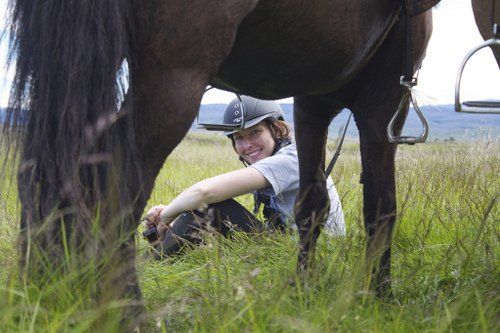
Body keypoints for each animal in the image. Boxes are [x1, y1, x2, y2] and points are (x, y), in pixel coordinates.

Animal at [1, 0, 498, 322]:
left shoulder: (312, 100)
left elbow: (312, 205)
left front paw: (303, 289)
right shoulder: (382, 102)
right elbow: (381, 207)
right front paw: (378, 297)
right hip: (173, 71)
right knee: (114, 193)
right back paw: (123, 312)